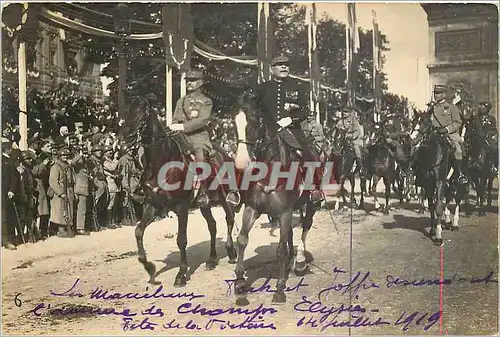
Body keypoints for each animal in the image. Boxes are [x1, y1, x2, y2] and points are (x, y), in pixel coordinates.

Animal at [129, 98, 238, 286]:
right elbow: (138, 231)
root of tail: (226, 154)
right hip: (205, 205)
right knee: (212, 225)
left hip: (224, 198)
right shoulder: (153, 205)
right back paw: (211, 259)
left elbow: (181, 239)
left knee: (229, 218)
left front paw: (181, 274)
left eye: (141, 113)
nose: (125, 137)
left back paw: (231, 252)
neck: (161, 163)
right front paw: (150, 269)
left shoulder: (181, 207)